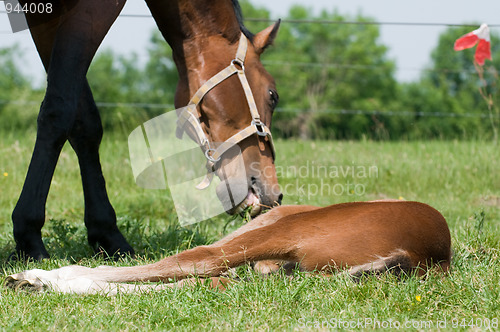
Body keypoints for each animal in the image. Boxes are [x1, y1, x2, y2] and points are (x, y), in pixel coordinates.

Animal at [11, 0, 284, 260]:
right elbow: (58, 111)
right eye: (273, 95)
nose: (274, 194)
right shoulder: (91, 8)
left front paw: (108, 234)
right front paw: (29, 236)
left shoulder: (46, 17)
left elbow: (84, 122)